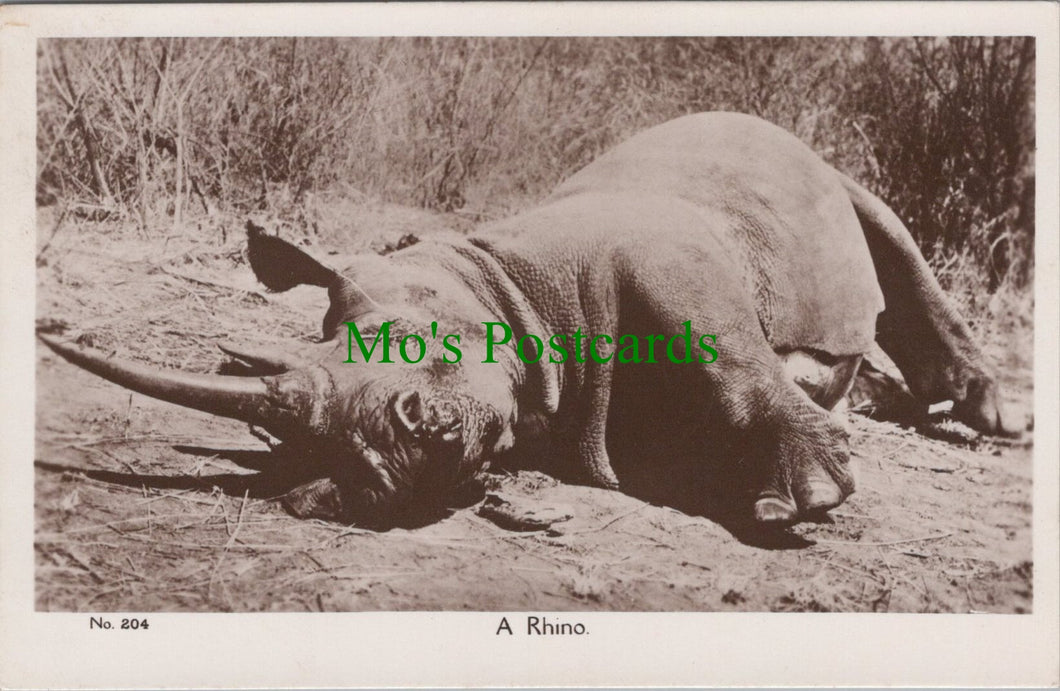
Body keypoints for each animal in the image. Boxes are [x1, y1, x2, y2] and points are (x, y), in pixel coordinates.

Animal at [39, 112, 1016, 528]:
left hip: (801, 158)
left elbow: (727, 349)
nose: (382, 465)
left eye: (415, 345)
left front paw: (804, 495)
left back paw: (991, 418)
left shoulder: (668, 256)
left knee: (881, 221)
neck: (502, 282)